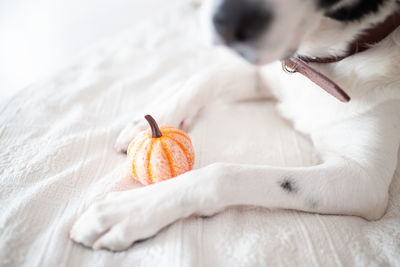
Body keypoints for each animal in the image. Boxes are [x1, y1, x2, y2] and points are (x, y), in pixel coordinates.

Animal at [70, 0, 400, 251]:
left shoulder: (363, 181)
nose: (226, 22)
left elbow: (223, 174)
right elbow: (206, 77)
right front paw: (148, 124)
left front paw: (133, 209)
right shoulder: (269, 73)